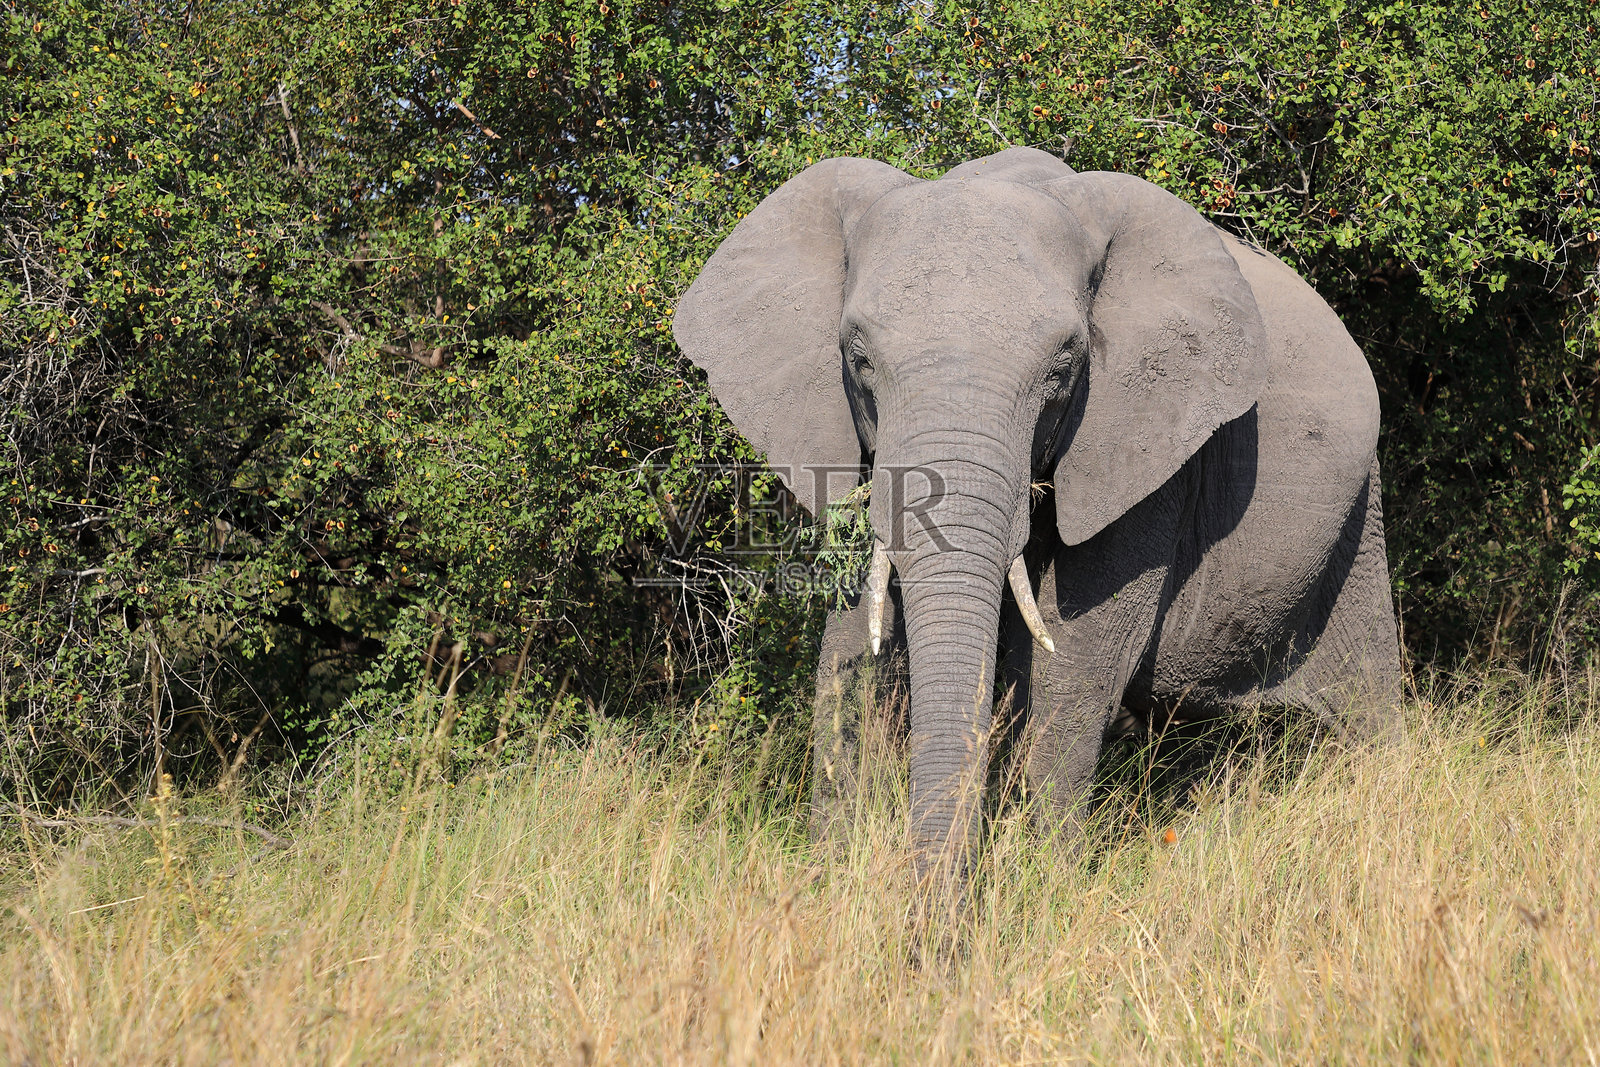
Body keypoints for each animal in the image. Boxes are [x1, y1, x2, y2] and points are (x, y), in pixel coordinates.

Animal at [672, 146, 1401, 878]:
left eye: (1064, 365)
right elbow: (852, 640)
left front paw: (1044, 878)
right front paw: (838, 870)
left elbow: (1072, 659)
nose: (932, 905)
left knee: (1366, 707)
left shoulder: (1146, 449)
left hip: (1359, 514)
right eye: (858, 357)